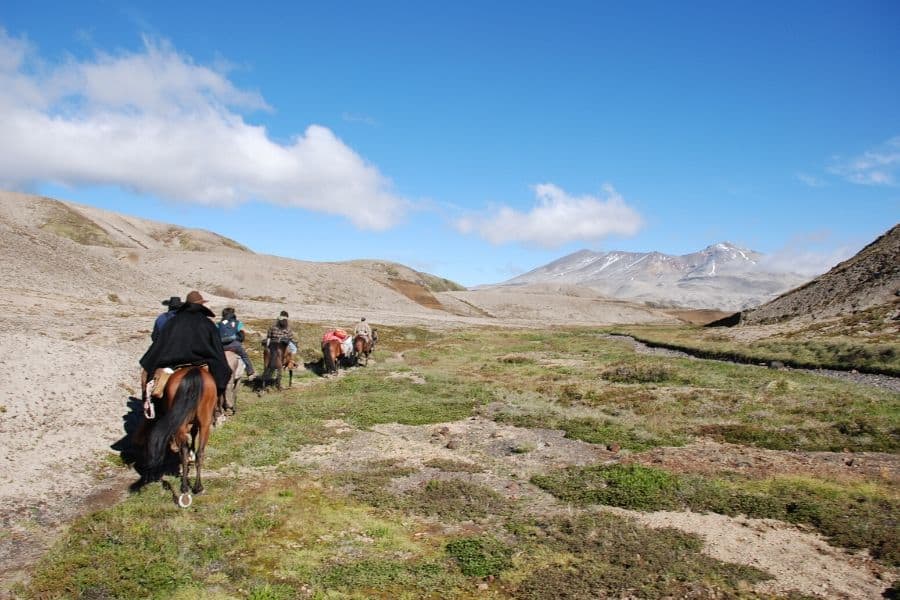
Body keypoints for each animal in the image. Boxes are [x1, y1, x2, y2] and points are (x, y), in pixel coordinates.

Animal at [142, 366, 218, 506]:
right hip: (204, 422)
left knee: (188, 450)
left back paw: (186, 487)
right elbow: (193, 434)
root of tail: (194, 371)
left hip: (188, 423)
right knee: (196, 452)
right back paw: (196, 487)